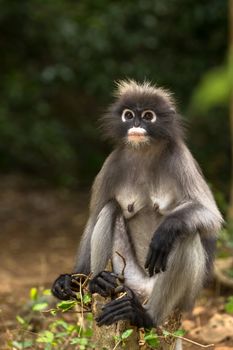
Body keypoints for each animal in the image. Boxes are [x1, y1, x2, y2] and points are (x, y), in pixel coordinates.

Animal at [52, 80, 223, 332]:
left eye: (148, 116)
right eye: (129, 115)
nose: (136, 124)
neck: (144, 152)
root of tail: (143, 290)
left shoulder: (181, 159)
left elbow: (211, 217)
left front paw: (165, 232)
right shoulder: (112, 163)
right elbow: (93, 219)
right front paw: (73, 279)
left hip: (183, 296)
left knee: (186, 235)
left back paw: (146, 316)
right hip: (128, 276)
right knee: (109, 209)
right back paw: (98, 283)